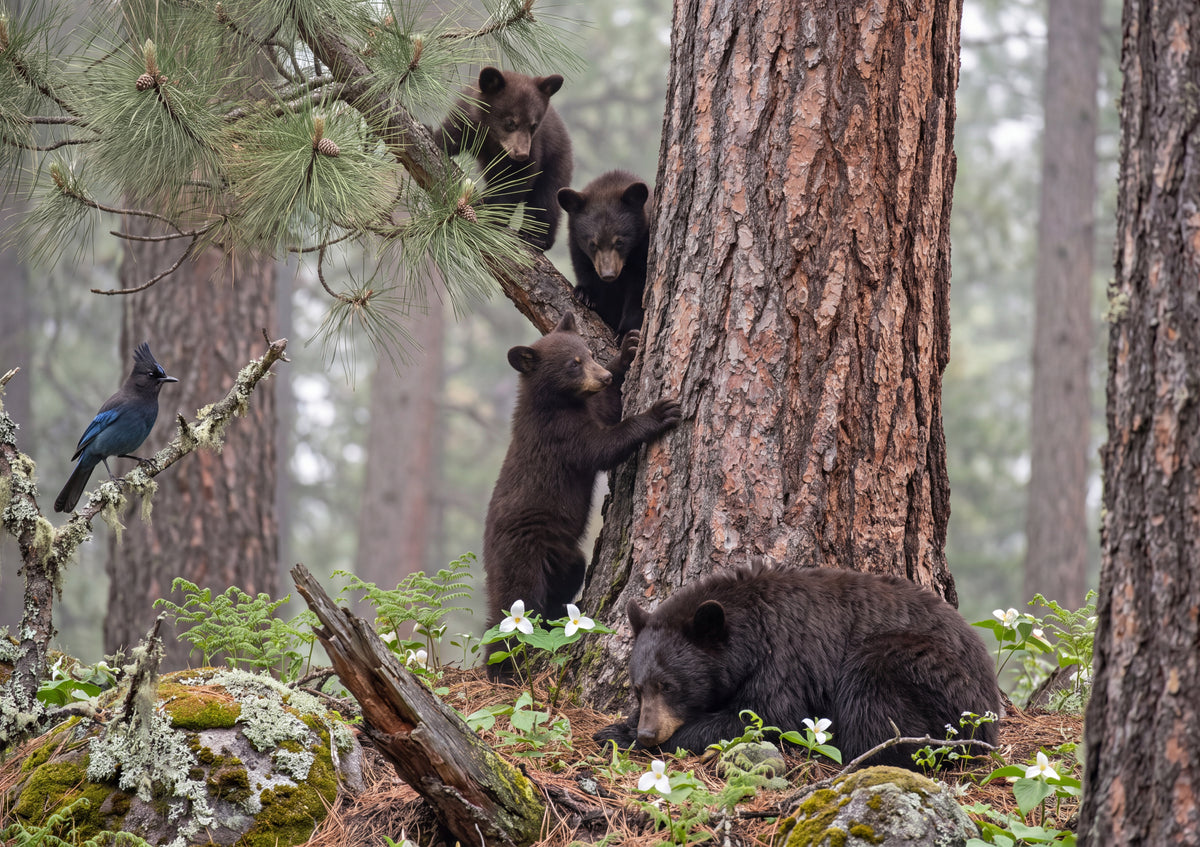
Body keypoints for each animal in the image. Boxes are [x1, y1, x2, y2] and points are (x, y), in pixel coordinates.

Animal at [434, 66, 573, 251]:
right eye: (511, 122)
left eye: (533, 126)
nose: (521, 154)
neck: (493, 138)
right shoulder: (466, 117)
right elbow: (451, 134)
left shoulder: (535, 147)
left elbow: (517, 180)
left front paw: (494, 213)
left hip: (557, 160)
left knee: (547, 198)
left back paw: (537, 237)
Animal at [483, 313, 681, 679]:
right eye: (572, 364)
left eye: (588, 353)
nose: (603, 376)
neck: (558, 403)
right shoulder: (561, 434)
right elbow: (603, 446)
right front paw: (659, 412)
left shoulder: (588, 407)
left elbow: (609, 407)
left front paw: (627, 351)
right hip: (521, 555)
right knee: (515, 607)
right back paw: (503, 668)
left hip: (564, 557)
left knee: (565, 580)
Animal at [557, 170, 652, 336]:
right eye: (592, 244)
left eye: (619, 242)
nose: (608, 274)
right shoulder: (577, 246)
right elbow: (583, 267)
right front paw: (585, 294)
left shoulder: (643, 248)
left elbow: (638, 293)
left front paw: (625, 333)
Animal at [594, 564, 1002, 768]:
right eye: (638, 687)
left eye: (670, 685)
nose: (649, 733)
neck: (750, 633)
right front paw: (619, 728)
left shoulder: (784, 660)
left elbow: (767, 718)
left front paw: (626, 737)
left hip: (927, 675)